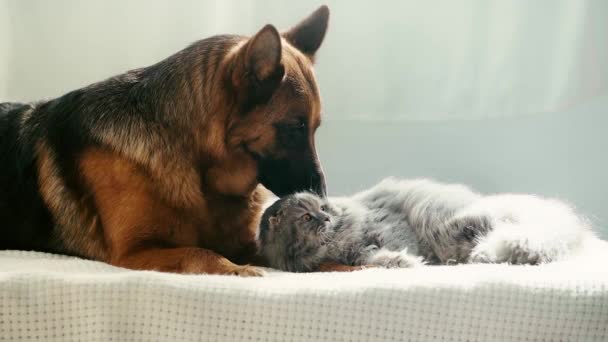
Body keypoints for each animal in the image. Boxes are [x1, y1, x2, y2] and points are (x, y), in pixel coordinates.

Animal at [0, 6, 332, 276]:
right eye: (294, 127)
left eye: (315, 128)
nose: (323, 199)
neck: (197, 163)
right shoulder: (136, 251)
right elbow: (201, 253)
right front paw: (236, 269)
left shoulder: (244, 242)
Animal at [256, 179, 592, 272]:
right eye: (306, 218)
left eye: (323, 209)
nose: (326, 218)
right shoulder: (355, 256)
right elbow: (377, 258)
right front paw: (404, 261)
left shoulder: (385, 224)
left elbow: (395, 243)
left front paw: (414, 258)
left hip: (466, 221)